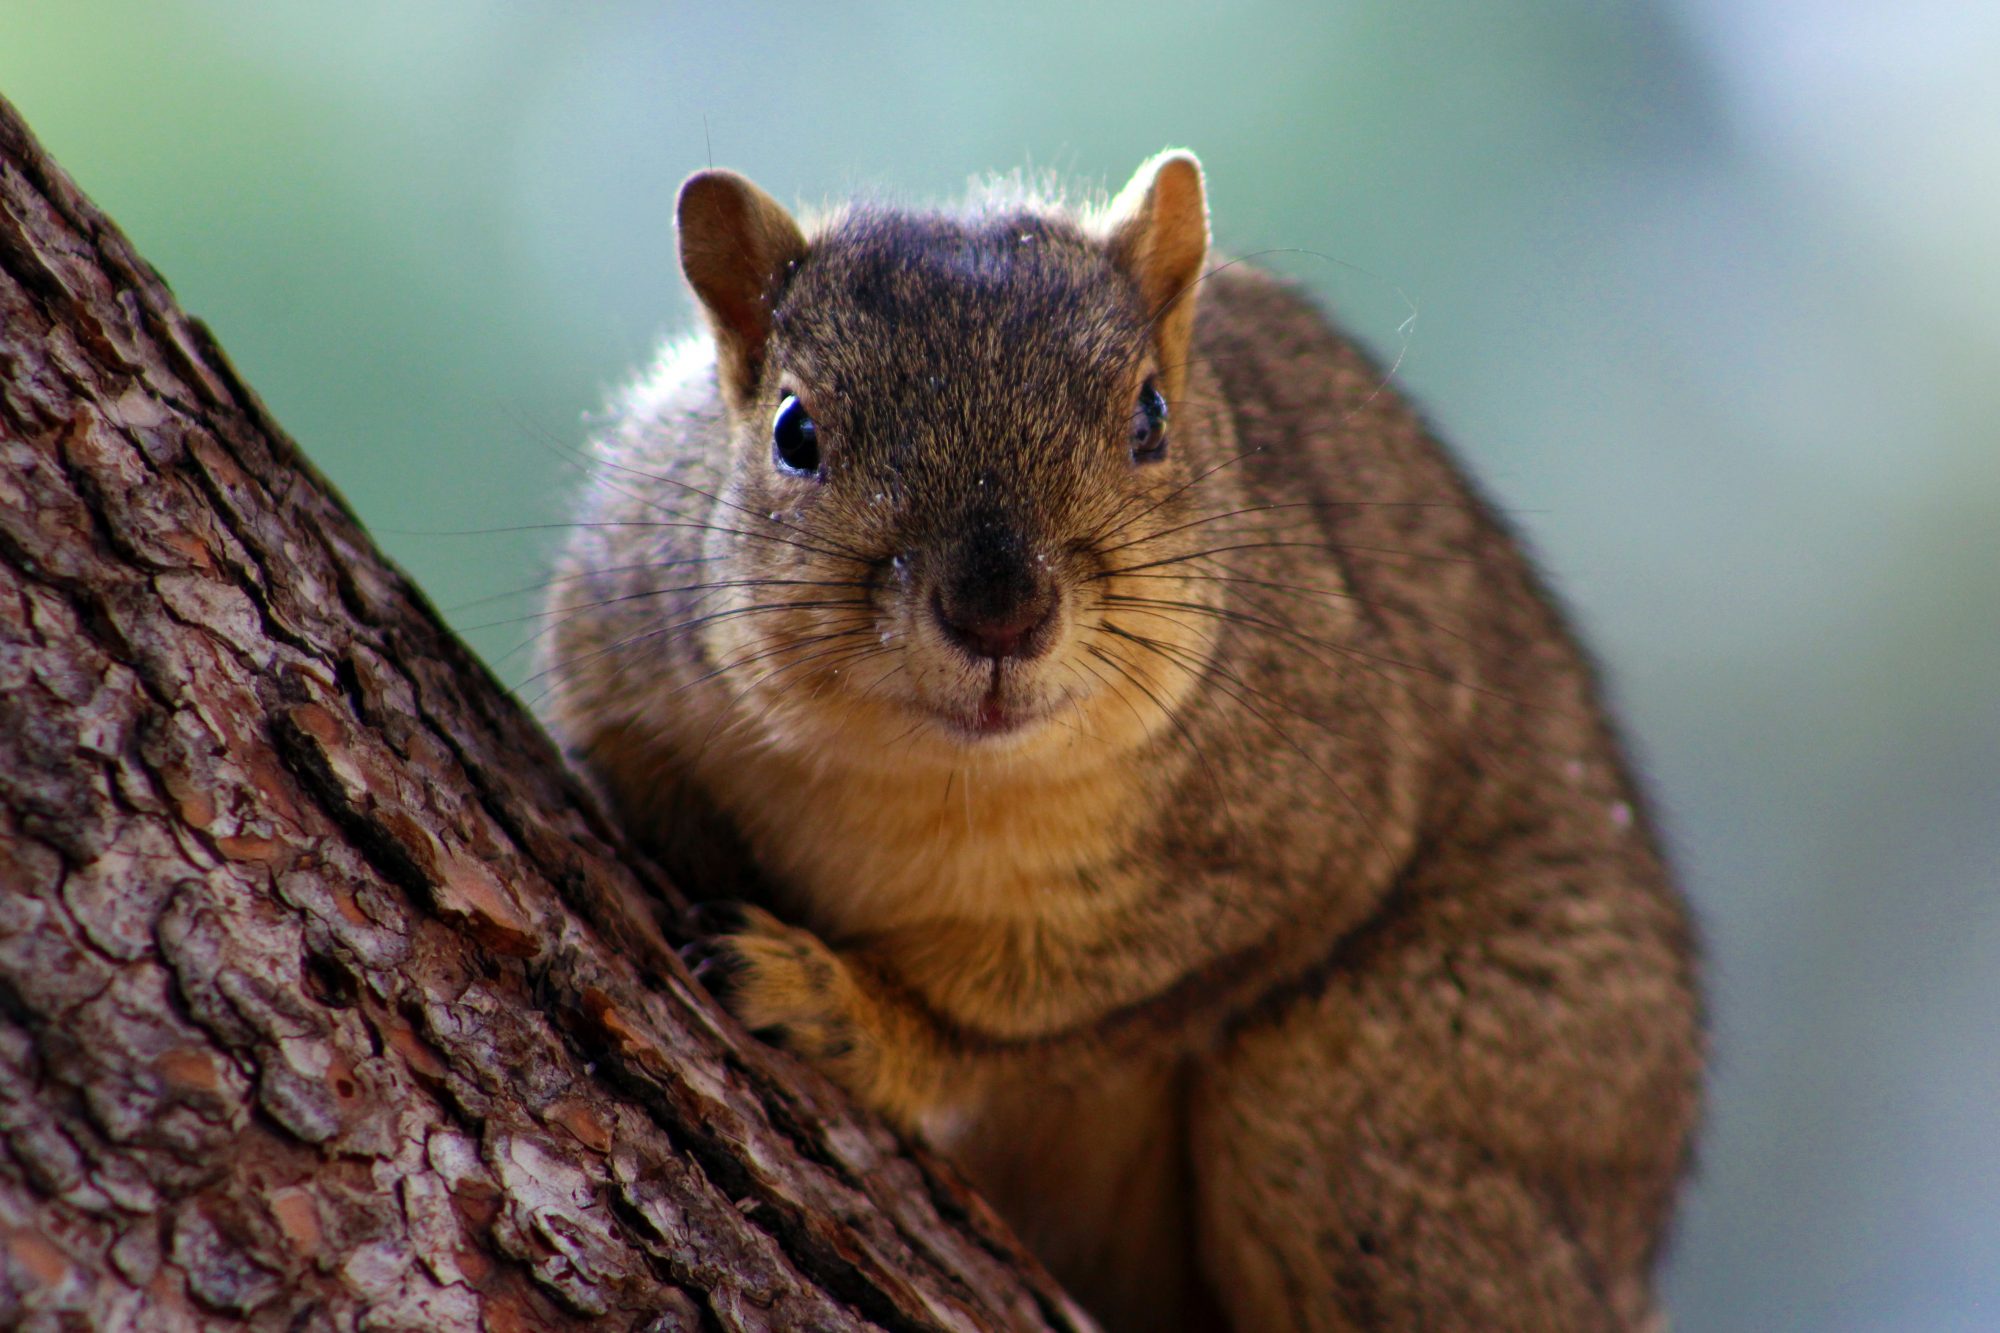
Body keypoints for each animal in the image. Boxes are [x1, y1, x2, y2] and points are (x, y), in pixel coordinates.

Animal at [544, 150, 1704, 1320]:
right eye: (794, 432)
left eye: (1148, 417)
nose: (999, 613)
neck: (936, 784)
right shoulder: (614, 645)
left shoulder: (1298, 834)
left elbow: (1038, 1029)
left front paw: (848, 1011)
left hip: (1369, 1107)